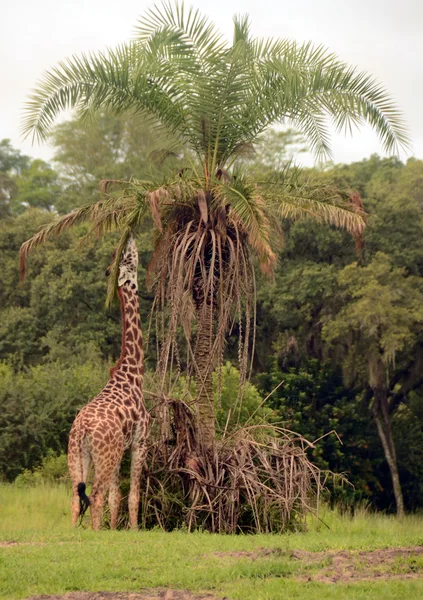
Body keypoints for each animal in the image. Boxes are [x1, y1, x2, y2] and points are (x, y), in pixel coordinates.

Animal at [67, 234, 149, 528]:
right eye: (127, 258)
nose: (130, 237)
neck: (134, 372)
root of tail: (82, 430)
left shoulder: (119, 450)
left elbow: (117, 498)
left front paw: (113, 531)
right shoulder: (139, 442)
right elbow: (133, 496)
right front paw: (133, 530)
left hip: (79, 455)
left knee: (76, 498)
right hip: (103, 455)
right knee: (95, 496)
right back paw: (93, 532)